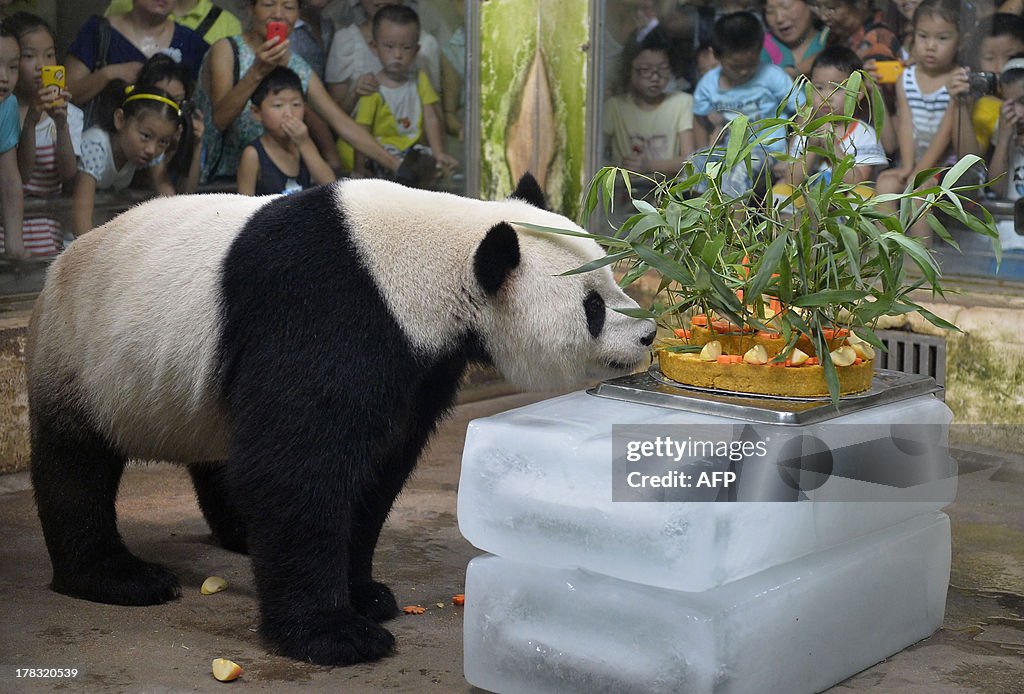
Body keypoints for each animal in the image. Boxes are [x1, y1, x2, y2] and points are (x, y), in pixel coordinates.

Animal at [28, 174, 659, 667]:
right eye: (592, 306)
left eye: (614, 278)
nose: (649, 333)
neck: (433, 258)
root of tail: (58, 263)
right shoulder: (326, 309)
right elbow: (301, 469)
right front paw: (335, 635)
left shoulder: (418, 363)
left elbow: (376, 470)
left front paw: (365, 594)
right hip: (82, 357)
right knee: (75, 469)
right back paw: (119, 578)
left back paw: (241, 534)